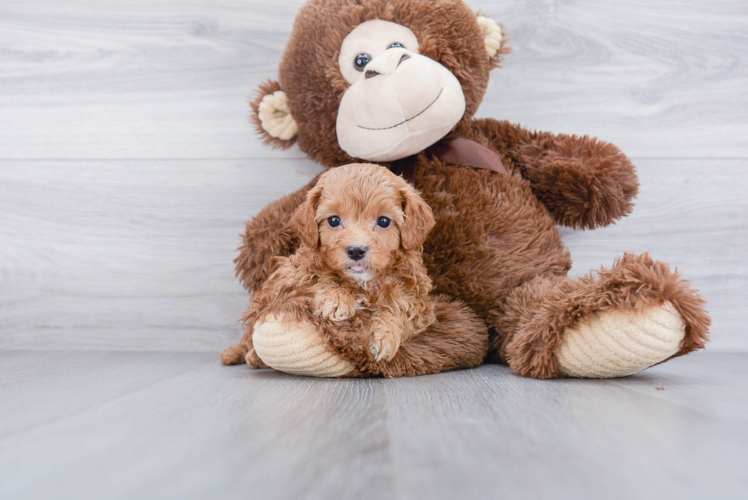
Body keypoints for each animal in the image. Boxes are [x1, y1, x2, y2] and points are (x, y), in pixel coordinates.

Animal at [243, 164, 436, 364]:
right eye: (334, 220)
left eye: (383, 221)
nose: (356, 250)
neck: (362, 283)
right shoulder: (291, 278)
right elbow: (317, 278)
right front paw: (337, 299)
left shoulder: (417, 299)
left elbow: (402, 310)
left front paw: (386, 336)